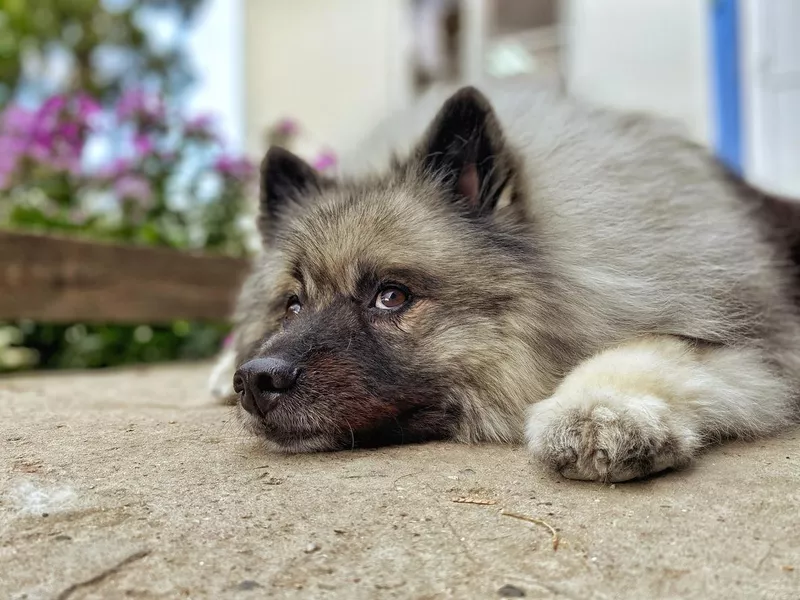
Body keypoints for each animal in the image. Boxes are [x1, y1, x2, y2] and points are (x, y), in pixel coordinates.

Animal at [208, 81, 800, 482]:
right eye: (292, 305)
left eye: (391, 296)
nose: (254, 380)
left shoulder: (760, 346)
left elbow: (662, 347)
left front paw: (599, 406)